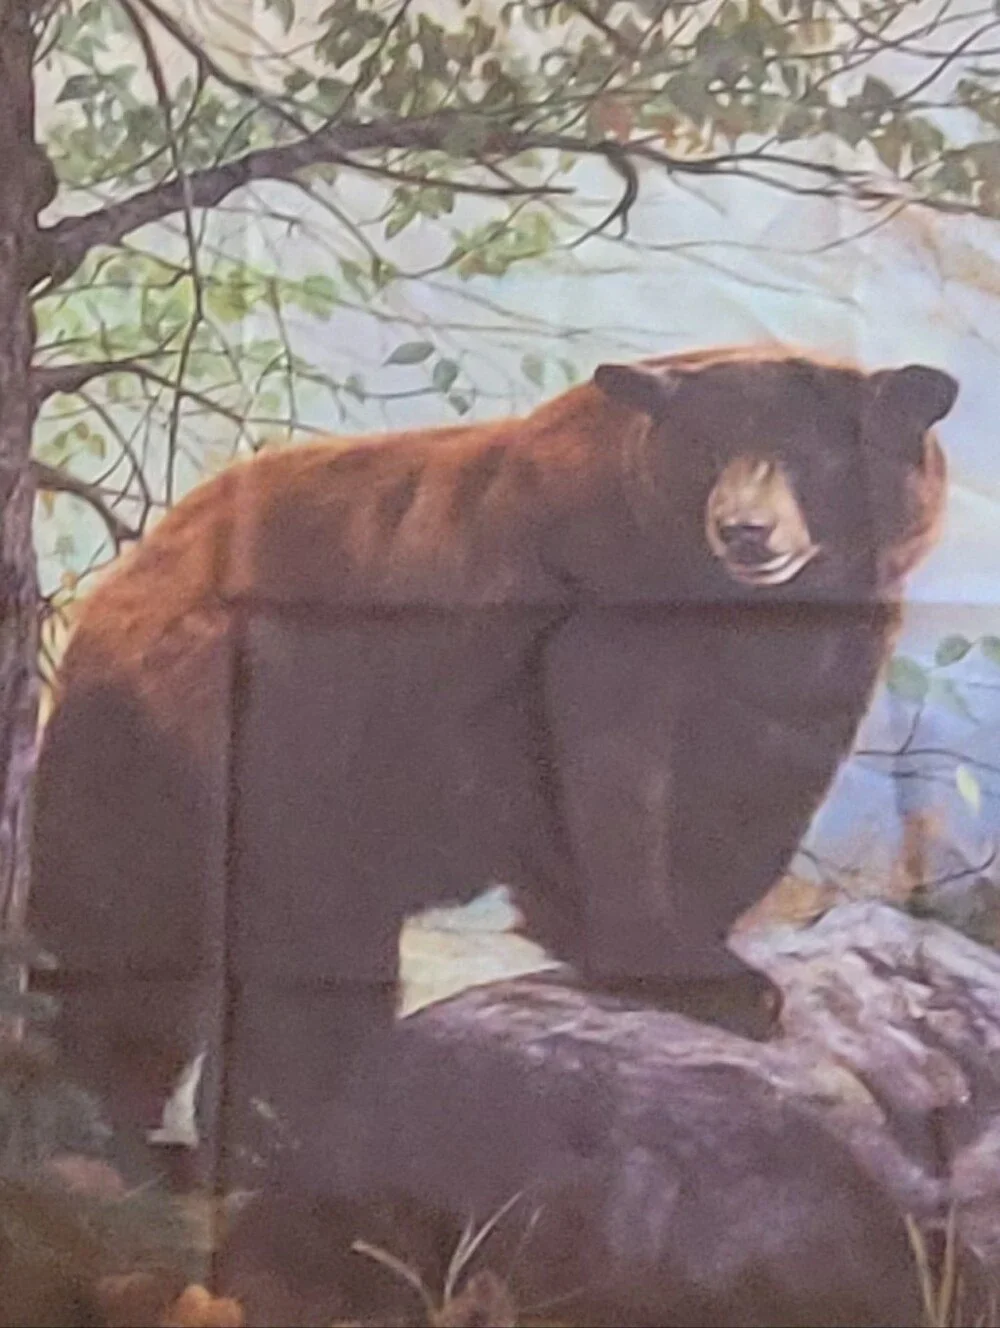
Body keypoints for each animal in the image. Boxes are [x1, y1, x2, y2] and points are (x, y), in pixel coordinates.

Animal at [27, 344, 957, 1196]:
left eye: (810, 455)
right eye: (707, 448)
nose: (746, 531)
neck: (739, 611)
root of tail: (113, 593)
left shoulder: (831, 652)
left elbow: (760, 787)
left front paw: (715, 941)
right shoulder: (584, 626)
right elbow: (607, 773)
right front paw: (690, 971)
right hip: (225, 748)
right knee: (163, 943)